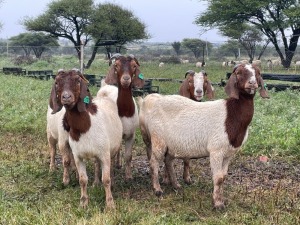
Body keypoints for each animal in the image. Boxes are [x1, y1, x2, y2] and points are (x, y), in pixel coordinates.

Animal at [51, 69, 122, 208]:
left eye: (78, 81)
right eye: (57, 82)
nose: (66, 97)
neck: (86, 127)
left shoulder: (104, 154)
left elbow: (106, 179)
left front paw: (110, 204)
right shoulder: (78, 156)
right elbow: (83, 180)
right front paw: (83, 203)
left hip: (112, 149)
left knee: (110, 167)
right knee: (96, 164)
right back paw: (96, 183)